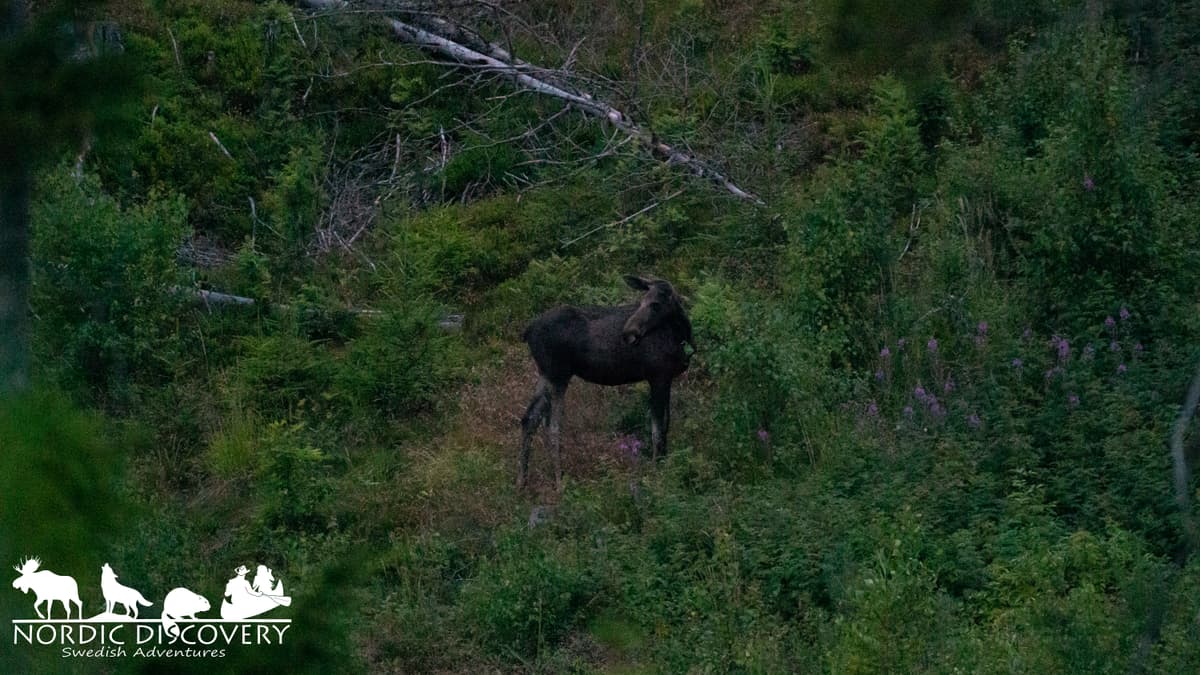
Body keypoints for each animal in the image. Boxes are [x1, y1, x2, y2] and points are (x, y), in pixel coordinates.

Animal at [518, 275, 693, 490]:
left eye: (655, 304)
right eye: (641, 302)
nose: (628, 333)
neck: (682, 335)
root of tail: (527, 332)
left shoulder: (667, 379)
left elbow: (665, 426)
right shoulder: (657, 376)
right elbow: (657, 431)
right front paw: (656, 472)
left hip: (544, 374)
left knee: (529, 418)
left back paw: (522, 482)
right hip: (558, 374)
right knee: (551, 425)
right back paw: (559, 481)